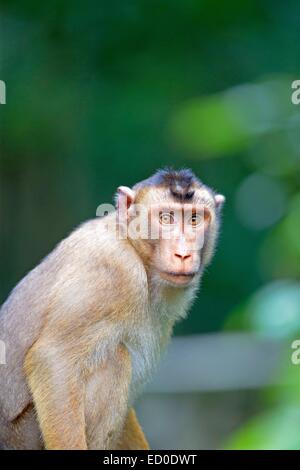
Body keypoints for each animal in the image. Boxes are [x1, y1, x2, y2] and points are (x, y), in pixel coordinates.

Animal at [0, 170, 225, 452]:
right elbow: (53, 359)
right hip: (23, 435)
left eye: (195, 219)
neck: (133, 247)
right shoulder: (112, 270)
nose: (183, 254)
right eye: (165, 217)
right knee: (114, 359)